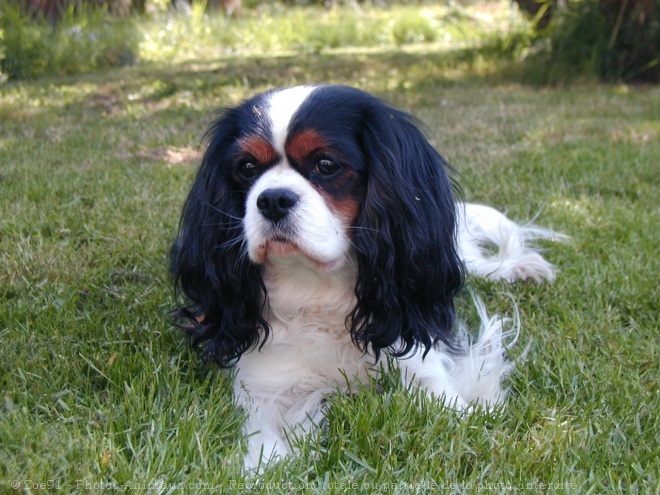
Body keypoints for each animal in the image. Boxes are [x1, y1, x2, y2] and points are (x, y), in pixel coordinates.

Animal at [171, 85, 564, 472]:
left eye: (326, 165)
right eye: (247, 167)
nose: (272, 199)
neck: (316, 287)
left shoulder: (416, 356)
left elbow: (448, 407)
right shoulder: (263, 385)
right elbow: (266, 447)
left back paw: (520, 269)